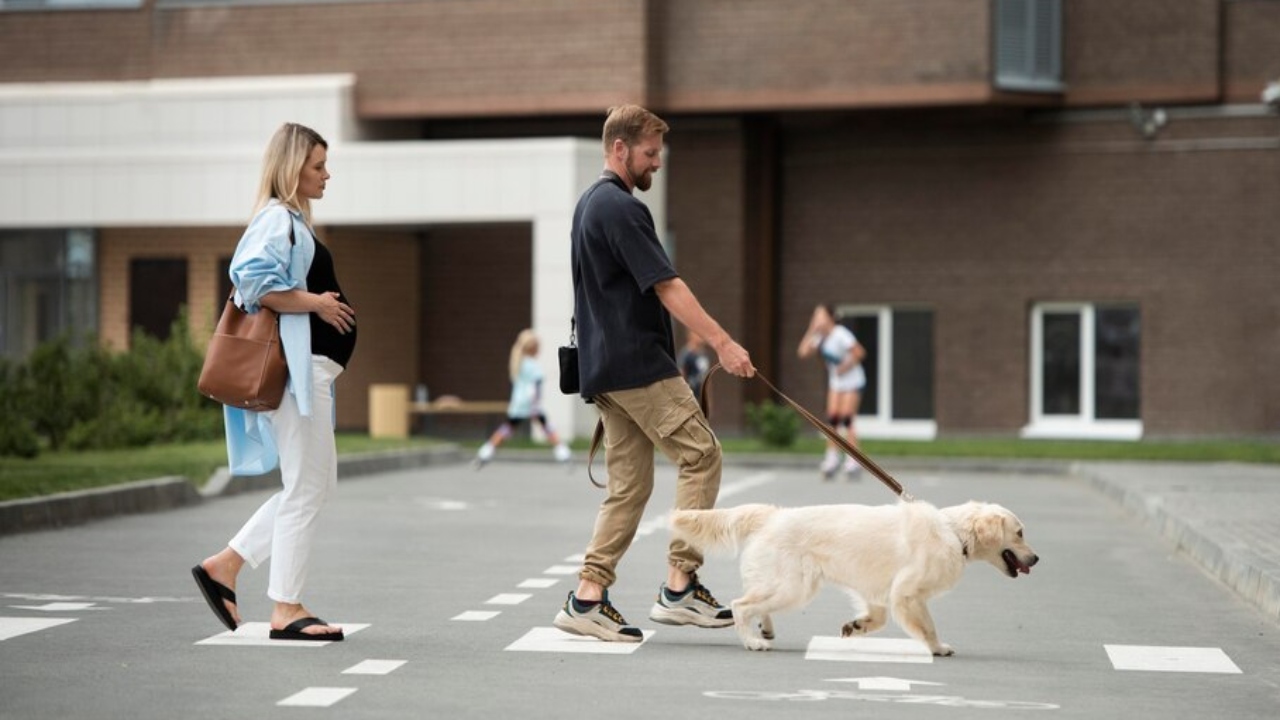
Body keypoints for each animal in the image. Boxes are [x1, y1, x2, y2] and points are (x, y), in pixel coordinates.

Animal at [670, 497, 1039, 653]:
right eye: (1020, 532)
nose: (1036, 558)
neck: (954, 532)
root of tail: (772, 515)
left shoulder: (877, 589)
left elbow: (878, 618)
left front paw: (856, 626)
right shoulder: (907, 593)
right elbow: (927, 627)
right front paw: (937, 648)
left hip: (788, 585)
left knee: (754, 603)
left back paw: (765, 629)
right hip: (794, 586)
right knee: (741, 605)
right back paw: (752, 641)